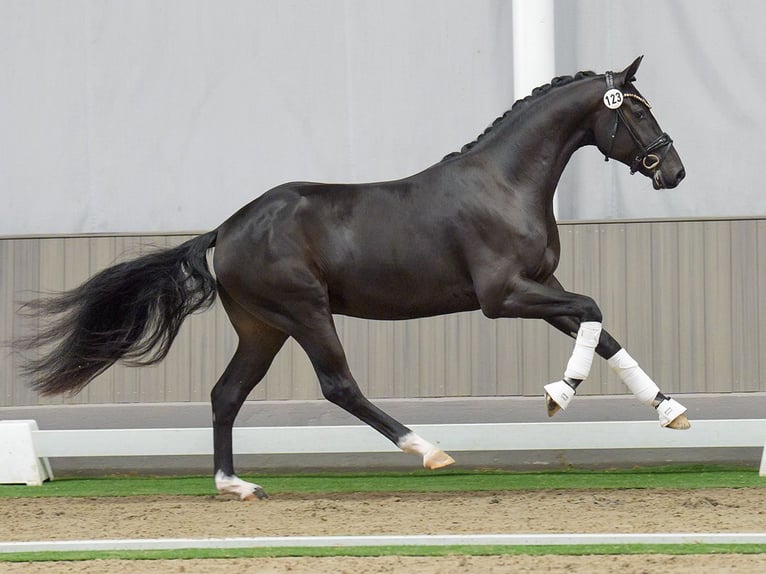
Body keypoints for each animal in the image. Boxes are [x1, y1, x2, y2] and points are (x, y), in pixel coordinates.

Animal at [16, 56, 688, 502]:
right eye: (636, 108)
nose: (673, 171)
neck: (505, 183)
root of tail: (225, 230)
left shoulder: (540, 286)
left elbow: (600, 327)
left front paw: (671, 412)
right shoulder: (503, 296)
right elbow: (594, 308)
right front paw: (559, 393)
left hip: (262, 328)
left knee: (226, 394)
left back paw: (235, 485)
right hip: (305, 313)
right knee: (338, 385)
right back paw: (429, 450)